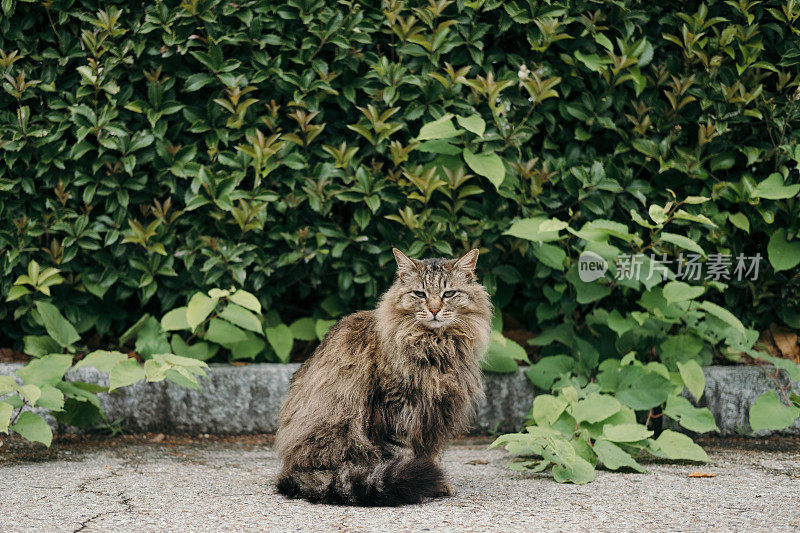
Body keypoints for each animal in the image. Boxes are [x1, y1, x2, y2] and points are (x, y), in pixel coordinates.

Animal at [278, 247, 496, 504]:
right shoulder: (398, 409)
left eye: (449, 293)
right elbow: (404, 454)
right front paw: (421, 482)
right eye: (420, 294)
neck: (435, 345)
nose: (434, 310)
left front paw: (436, 482)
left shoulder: (435, 415)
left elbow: (429, 455)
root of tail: (290, 470)